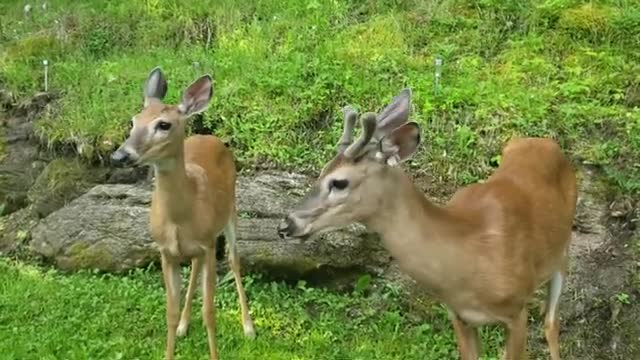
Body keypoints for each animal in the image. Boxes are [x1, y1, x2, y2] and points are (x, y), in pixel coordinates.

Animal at [111, 68, 256, 360]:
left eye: (163, 125)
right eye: (133, 121)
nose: (120, 155)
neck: (179, 218)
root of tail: (211, 137)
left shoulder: (209, 245)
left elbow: (210, 312)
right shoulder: (166, 251)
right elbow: (169, 312)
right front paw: (176, 329)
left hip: (230, 213)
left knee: (234, 260)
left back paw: (248, 327)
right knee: (196, 269)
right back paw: (184, 325)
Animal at [278, 88, 576, 360]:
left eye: (339, 182)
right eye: (321, 172)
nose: (286, 225)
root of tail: (548, 143)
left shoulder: (516, 311)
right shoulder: (459, 316)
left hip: (561, 253)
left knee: (551, 323)